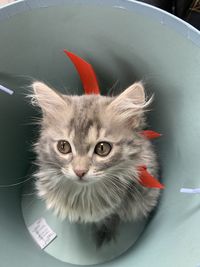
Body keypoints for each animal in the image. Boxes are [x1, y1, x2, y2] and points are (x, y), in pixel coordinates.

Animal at [30, 81, 160, 247]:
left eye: (102, 148)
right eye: (63, 146)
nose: (79, 171)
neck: (82, 195)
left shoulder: (114, 209)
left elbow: (109, 219)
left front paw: (105, 232)